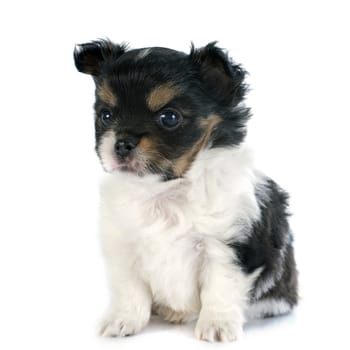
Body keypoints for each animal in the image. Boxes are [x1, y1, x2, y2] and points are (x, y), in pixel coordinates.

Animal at [74, 39, 298, 342]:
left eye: (169, 117)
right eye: (106, 115)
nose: (121, 143)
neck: (165, 189)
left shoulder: (228, 245)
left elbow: (220, 287)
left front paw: (217, 325)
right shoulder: (124, 246)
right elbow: (129, 288)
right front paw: (123, 320)